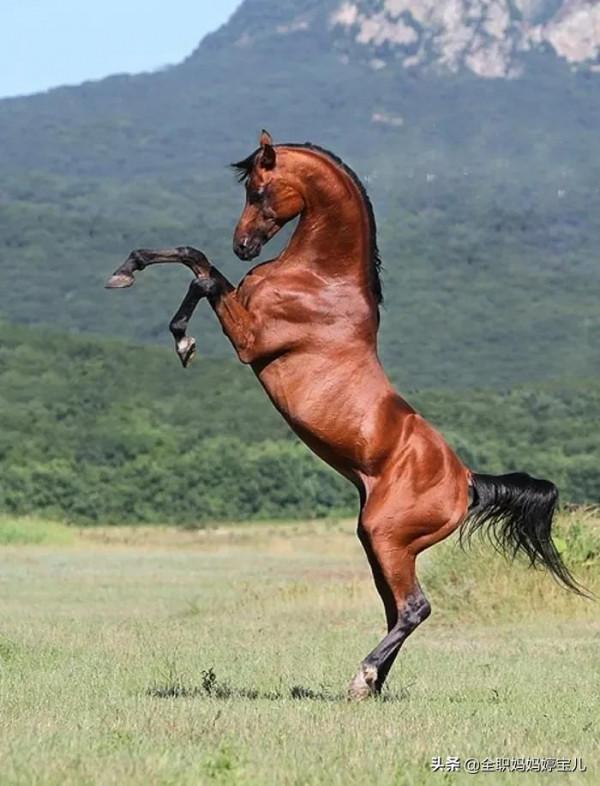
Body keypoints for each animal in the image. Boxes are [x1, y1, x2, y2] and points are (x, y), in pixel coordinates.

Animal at [106, 130, 584, 700]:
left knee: (415, 608)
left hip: (386, 538)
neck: (320, 278)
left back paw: (361, 678)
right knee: (397, 611)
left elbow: (201, 272)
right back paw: (372, 685)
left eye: (259, 191)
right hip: (380, 545)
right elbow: (192, 260)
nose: (243, 246)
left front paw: (181, 338)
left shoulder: (249, 338)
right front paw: (129, 273)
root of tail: (467, 481)